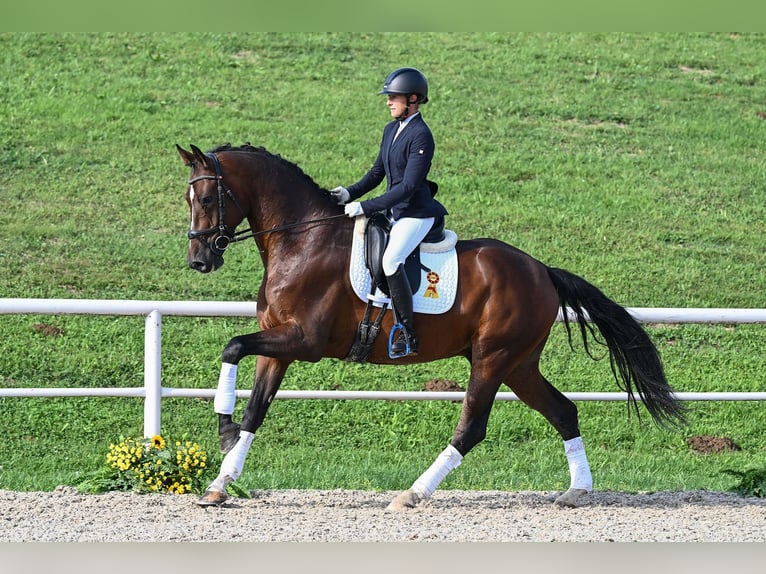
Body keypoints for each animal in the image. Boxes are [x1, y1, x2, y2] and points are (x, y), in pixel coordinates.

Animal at [177, 142, 688, 510]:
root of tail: (542, 270)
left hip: (493, 359)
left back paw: (412, 493)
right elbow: (254, 408)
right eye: (188, 198)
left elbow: (231, 346)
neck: (302, 238)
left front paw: (222, 433)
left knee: (472, 428)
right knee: (564, 412)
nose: (200, 260)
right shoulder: (277, 346)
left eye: (207, 197)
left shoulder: (304, 341)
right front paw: (221, 478)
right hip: (520, 365)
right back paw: (577, 490)